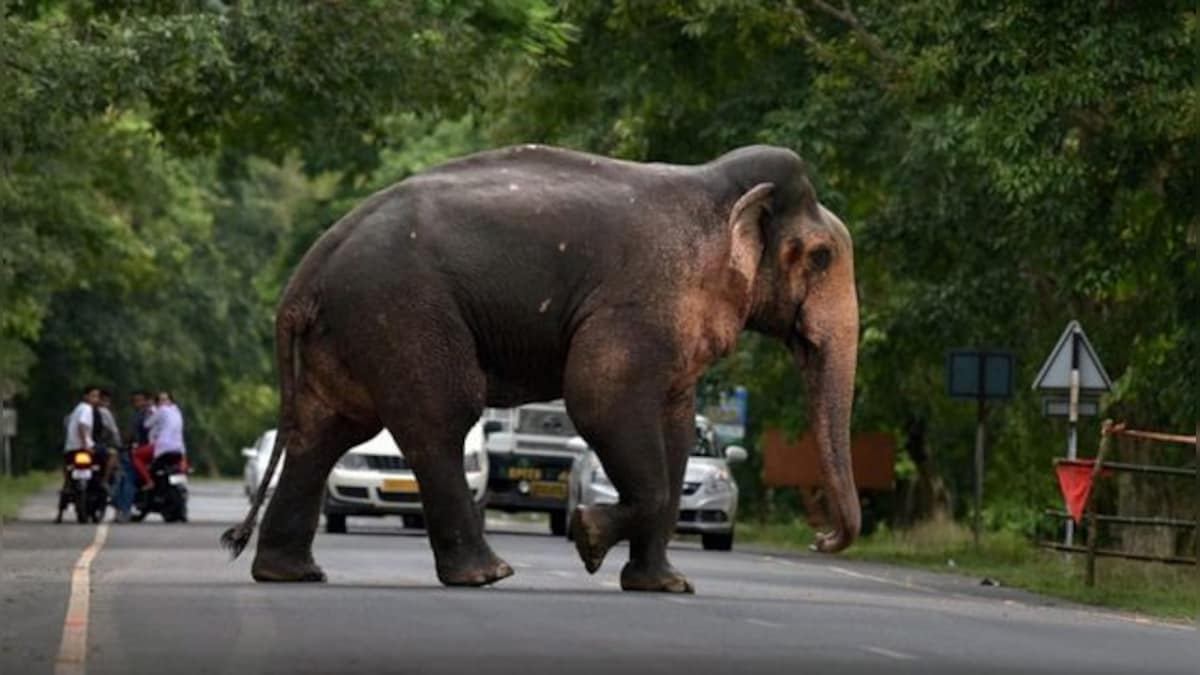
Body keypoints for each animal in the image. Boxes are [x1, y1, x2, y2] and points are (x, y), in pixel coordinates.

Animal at [223, 140, 864, 588]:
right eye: (821, 256)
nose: (820, 538)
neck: (715, 189)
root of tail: (307, 270)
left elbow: (677, 430)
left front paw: (666, 586)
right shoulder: (638, 302)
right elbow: (599, 397)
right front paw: (586, 535)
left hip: (350, 329)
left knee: (326, 430)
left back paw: (290, 574)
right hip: (400, 311)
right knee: (439, 418)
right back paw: (487, 574)